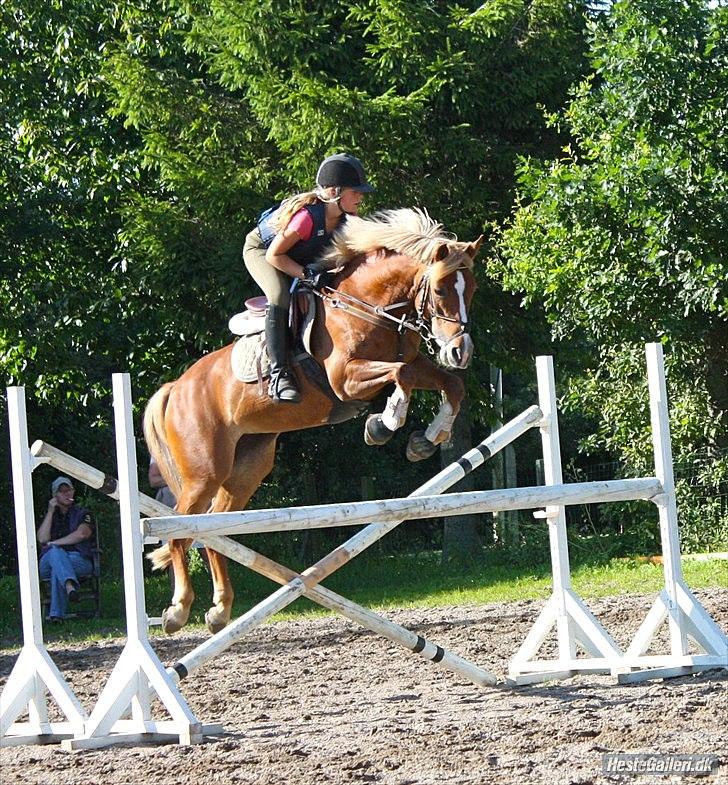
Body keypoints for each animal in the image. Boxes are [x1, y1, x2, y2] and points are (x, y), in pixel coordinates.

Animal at [144, 208, 482, 635]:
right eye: (439, 290)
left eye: (471, 290)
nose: (459, 351)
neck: (369, 305)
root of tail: (176, 387)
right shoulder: (345, 379)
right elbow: (401, 375)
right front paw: (384, 423)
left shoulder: (416, 364)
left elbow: (450, 384)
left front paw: (426, 439)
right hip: (203, 472)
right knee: (180, 532)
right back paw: (177, 611)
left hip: (247, 467)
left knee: (213, 530)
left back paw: (220, 610)